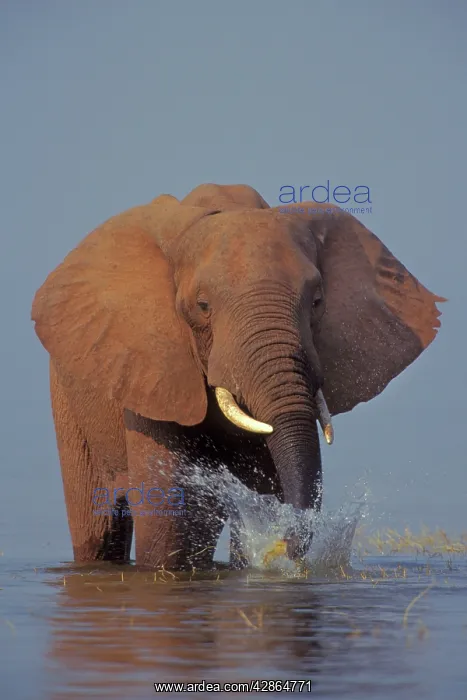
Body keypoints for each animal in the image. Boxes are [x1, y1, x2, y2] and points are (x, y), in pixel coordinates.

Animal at [31, 183, 445, 570]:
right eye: (202, 306)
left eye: (317, 301)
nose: (284, 548)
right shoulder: (150, 369)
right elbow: (168, 516)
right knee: (99, 527)